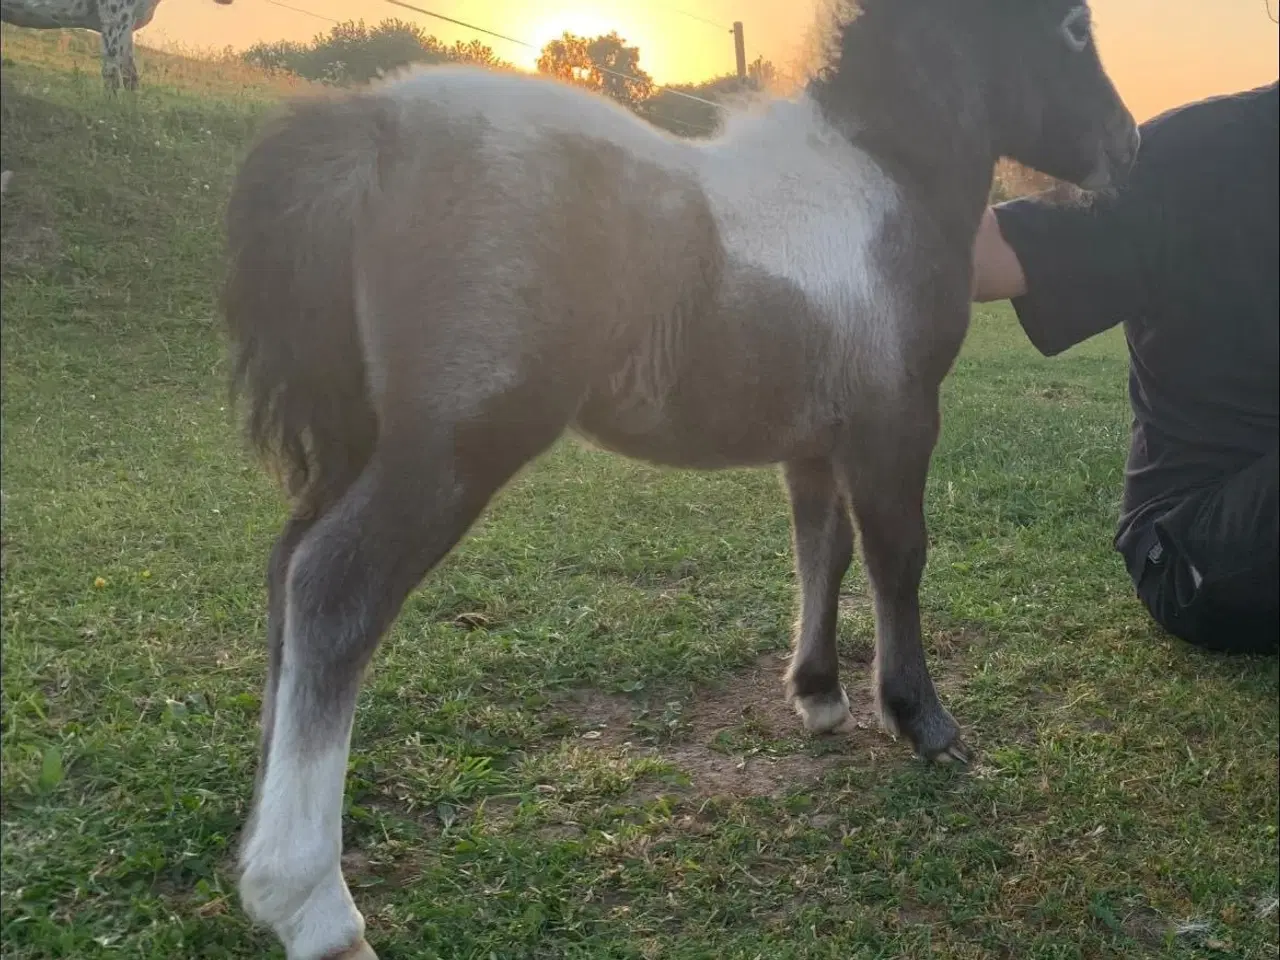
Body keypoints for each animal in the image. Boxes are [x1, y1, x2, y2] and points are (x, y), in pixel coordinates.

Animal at [222, 3, 1141, 957]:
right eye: (1074, 28)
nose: (1129, 144)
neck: (880, 182)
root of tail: (372, 124)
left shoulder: (815, 442)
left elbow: (822, 552)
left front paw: (819, 696)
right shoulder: (896, 420)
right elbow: (897, 559)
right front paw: (923, 722)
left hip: (366, 443)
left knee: (286, 570)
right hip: (451, 450)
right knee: (333, 588)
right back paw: (313, 906)